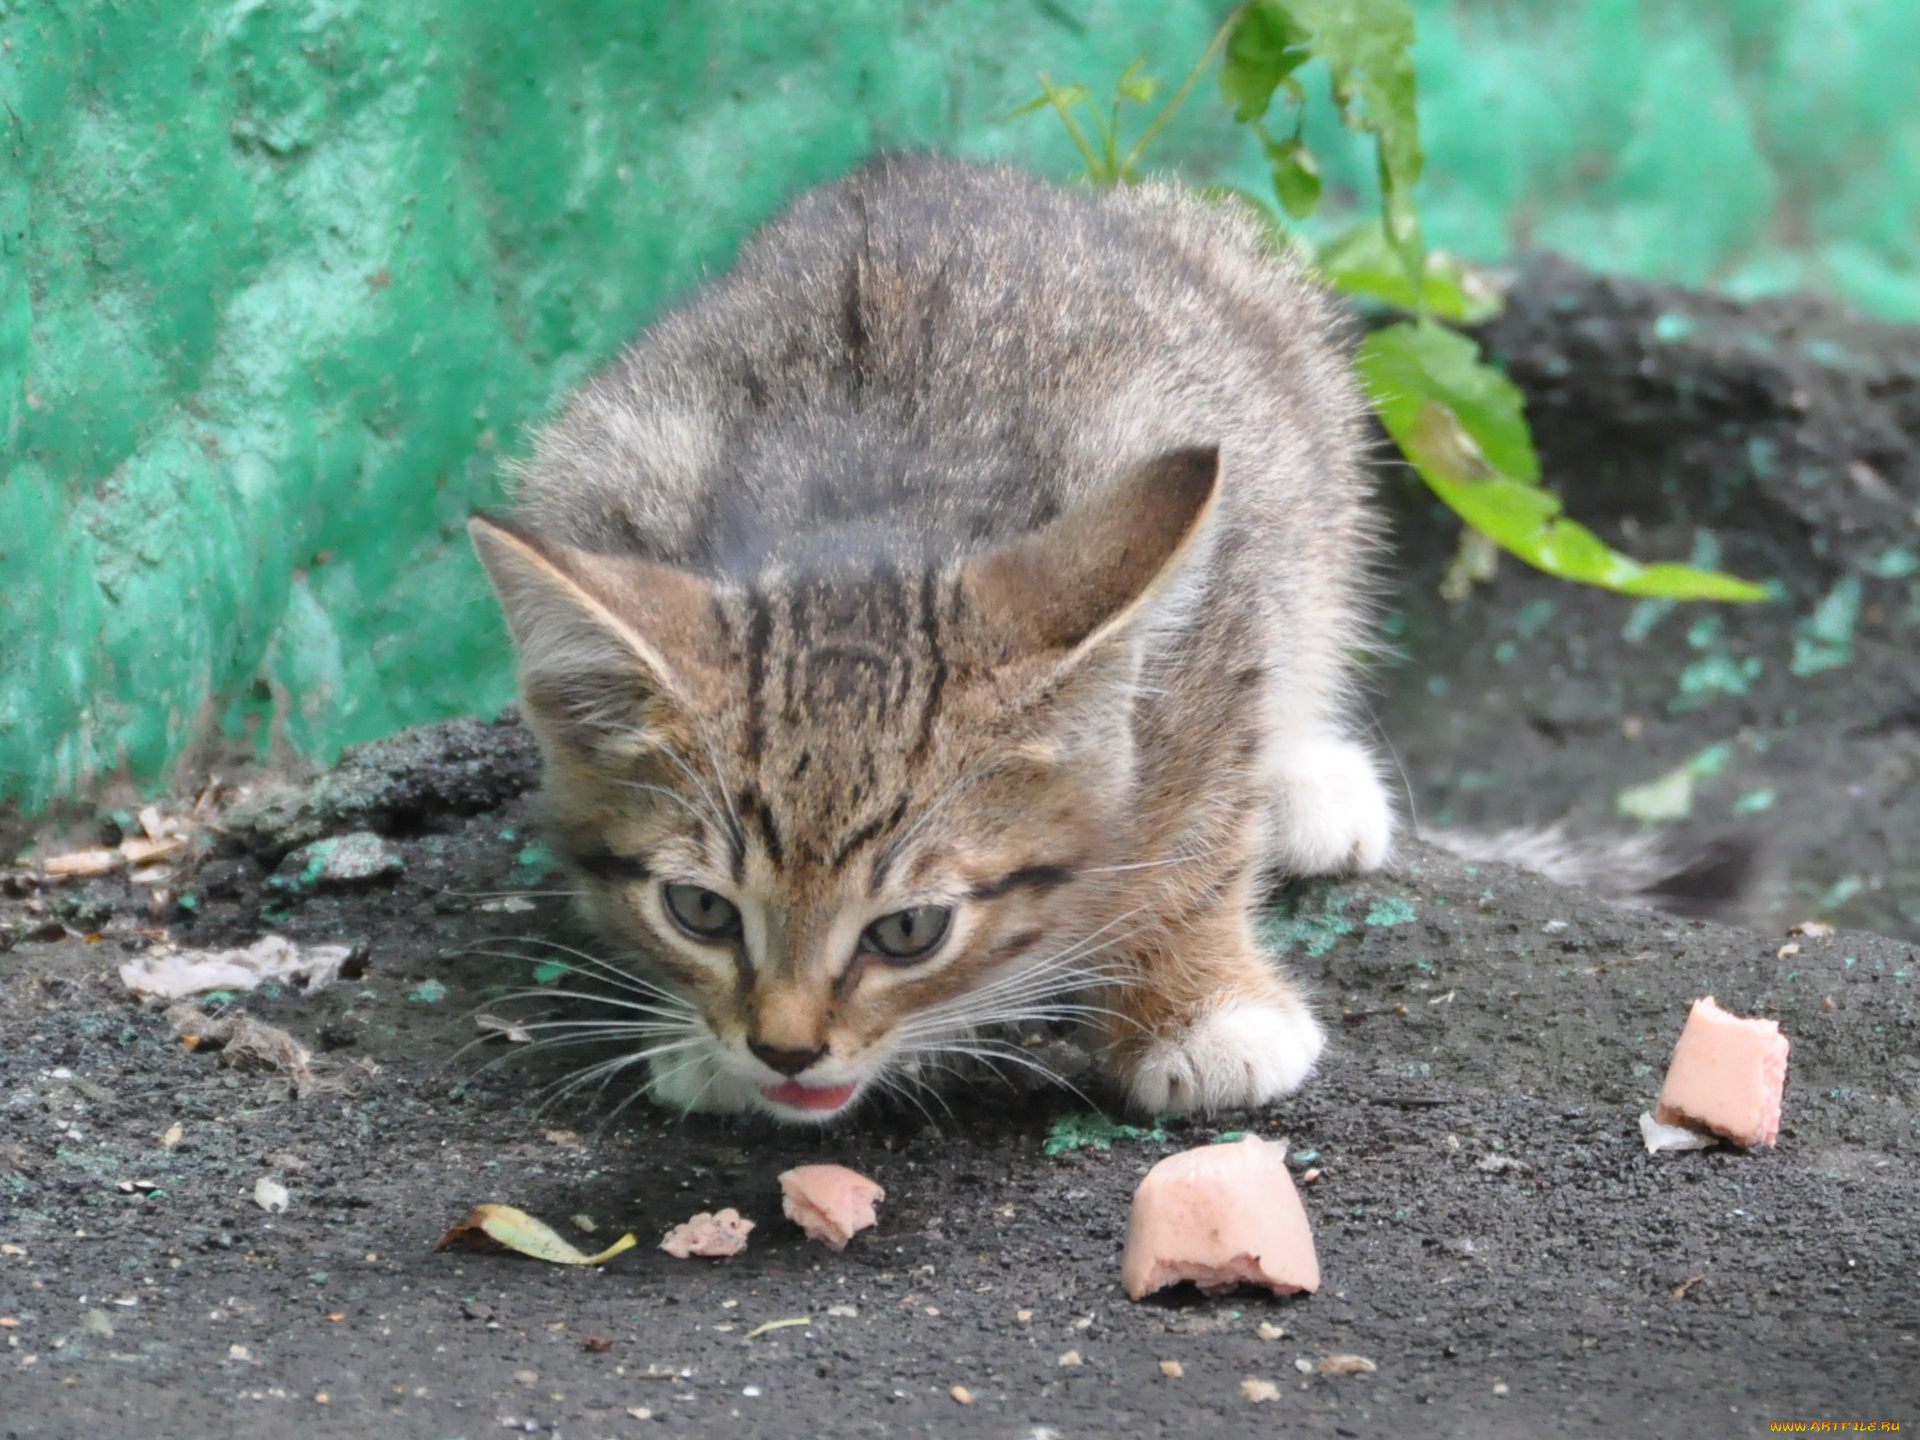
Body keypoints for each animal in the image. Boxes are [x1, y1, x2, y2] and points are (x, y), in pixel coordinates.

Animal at [470, 157, 1390, 1128]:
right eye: (700, 911)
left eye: (910, 929)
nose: (784, 1051)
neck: (870, 517)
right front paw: (695, 1037)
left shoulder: (1215, 624)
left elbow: (1205, 824)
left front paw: (1199, 1005)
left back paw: (1308, 777)